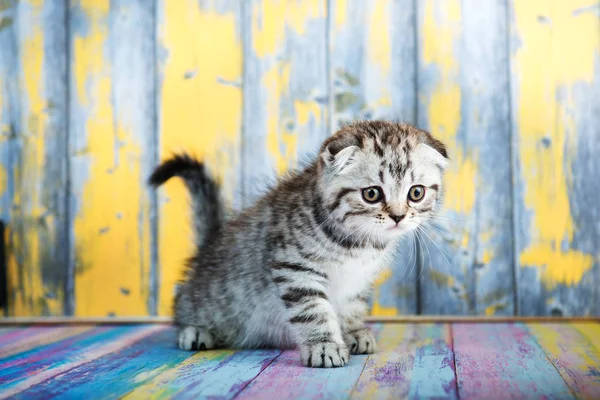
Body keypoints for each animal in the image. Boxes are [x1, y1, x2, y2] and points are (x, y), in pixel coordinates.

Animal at [149, 121, 448, 368]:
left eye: (416, 193)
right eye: (372, 194)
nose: (398, 216)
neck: (358, 244)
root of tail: (208, 246)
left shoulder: (358, 279)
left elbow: (351, 308)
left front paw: (353, 333)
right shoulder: (296, 269)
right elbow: (313, 311)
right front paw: (325, 346)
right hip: (210, 298)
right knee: (184, 303)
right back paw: (195, 330)